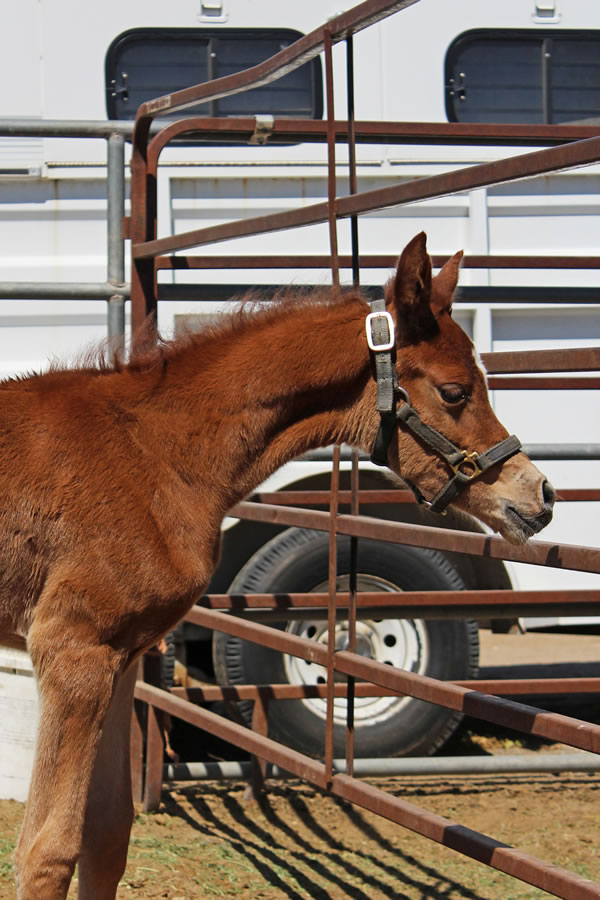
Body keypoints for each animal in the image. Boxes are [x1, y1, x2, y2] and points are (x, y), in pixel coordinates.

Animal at [0, 234, 552, 900]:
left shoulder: (122, 654)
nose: (540, 496)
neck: (155, 452)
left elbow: (106, 837)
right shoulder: (73, 650)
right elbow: (47, 851)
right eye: (454, 391)